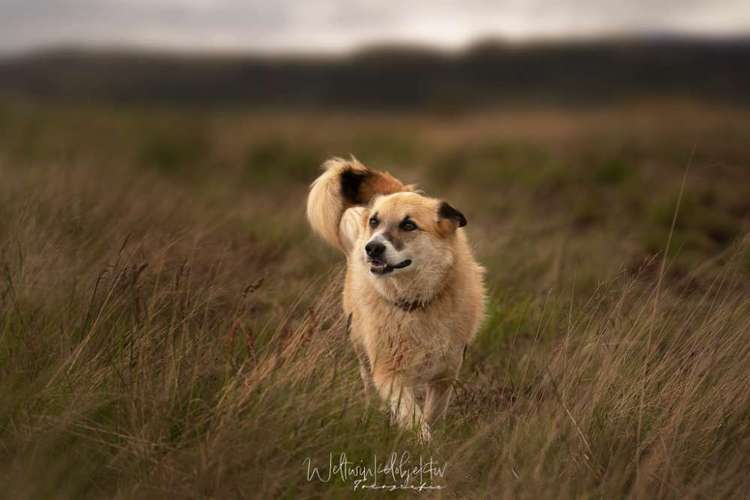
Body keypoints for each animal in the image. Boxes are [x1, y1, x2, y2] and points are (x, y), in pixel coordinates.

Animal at [306, 157, 488, 442]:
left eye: (408, 225)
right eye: (374, 221)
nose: (372, 248)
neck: (416, 302)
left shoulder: (445, 374)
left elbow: (432, 414)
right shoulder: (390, 373)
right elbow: (412, 416)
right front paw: (423, 442)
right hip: (362, 353)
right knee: (370, 389)